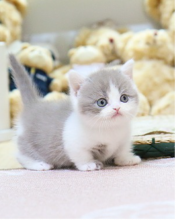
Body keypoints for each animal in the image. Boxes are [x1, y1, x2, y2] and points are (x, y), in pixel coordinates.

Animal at [8, 54, 141, 171]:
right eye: (102, 102)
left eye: (124, 98)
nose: (117, 108)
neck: (110, 128)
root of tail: (34, 104)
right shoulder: (73, 141)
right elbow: (81, 154)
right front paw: (89, 164)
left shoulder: (124, 139)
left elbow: (122, 150)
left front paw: (126, 159)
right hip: (27, 140)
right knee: (21, 155)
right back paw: (39, 164)